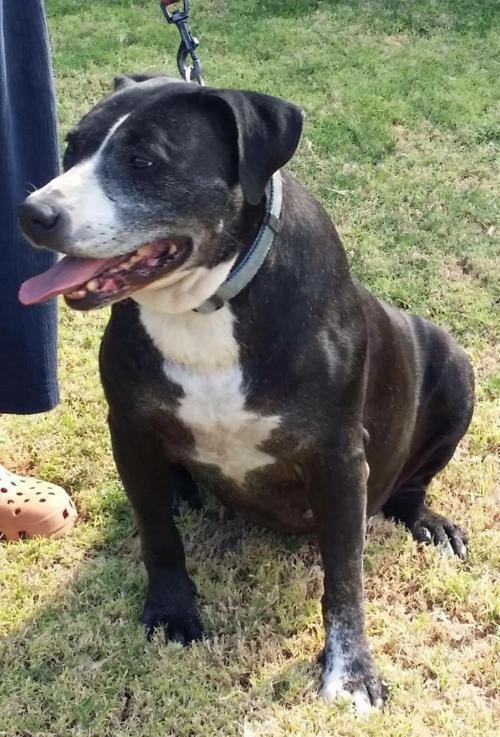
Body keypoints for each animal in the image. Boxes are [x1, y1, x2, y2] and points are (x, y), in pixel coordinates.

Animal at [18, 76, 472, 712]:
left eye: (144, 161)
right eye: (72, 147)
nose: (33, 213)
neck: (206, 305)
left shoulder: (338, 458)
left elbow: (344, 578)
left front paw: (351, 672)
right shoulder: (130, 426)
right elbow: (158, 536)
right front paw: (171, 613)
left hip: (455, 369)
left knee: (411, 485)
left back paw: (430, 523)